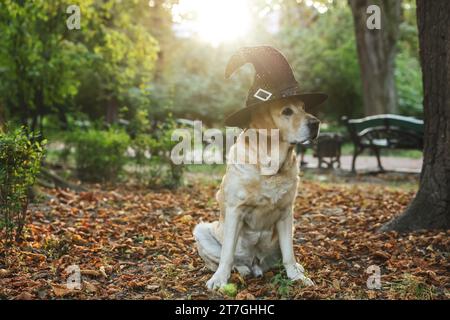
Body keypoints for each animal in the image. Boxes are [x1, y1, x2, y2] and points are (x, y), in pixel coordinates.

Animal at [194, 99, 320, 288]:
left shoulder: (286, 212)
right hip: (202, 231)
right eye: (287, 111)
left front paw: (297, 276)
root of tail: (256, 263)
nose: (316, 123)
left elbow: (288, 253)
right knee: (227, 260)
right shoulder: (235, 211)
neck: (269, 166)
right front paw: (219, 279)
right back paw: (241, 270)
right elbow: (227, 254)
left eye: (303, 108)